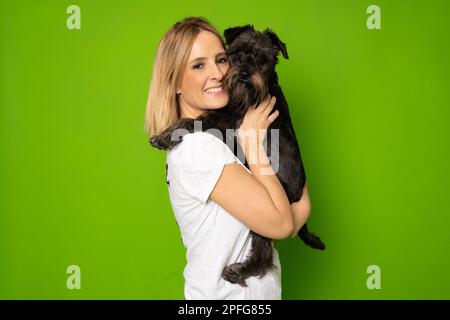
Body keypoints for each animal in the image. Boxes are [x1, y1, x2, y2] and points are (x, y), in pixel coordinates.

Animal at [150, 24, 324, 284]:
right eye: (237, 53)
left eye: (262, 59)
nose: (244, 74)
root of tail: (299, 190)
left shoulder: (224, 120)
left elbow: (194, 120)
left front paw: (164, 136)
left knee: (263, 252)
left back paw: (240, 271)